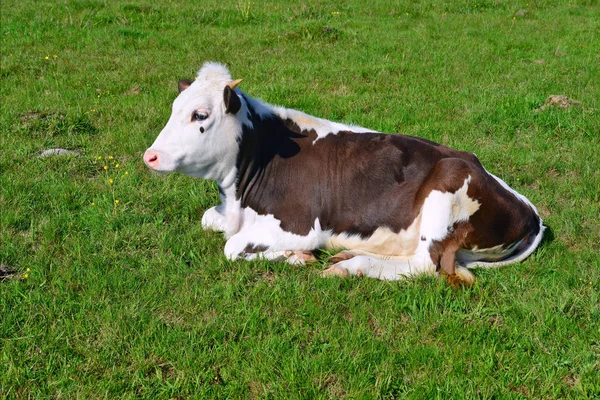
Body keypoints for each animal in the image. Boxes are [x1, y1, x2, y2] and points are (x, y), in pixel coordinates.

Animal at [144, 61, 544, 288]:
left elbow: (232, 247)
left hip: (447, 184)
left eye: (199, 115)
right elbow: (208, 221)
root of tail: (531, 213)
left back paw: (350, 267)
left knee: (424, 265)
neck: (237, 195)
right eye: (174, 108)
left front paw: (298, 257)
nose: (150, 156)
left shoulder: (300, 227)